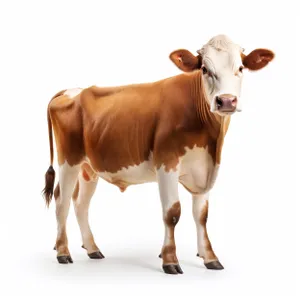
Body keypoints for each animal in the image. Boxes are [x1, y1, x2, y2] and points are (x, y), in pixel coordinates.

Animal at [42, 34, 274, 274]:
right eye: (204, 69)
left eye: (241, 68)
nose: (226, 101)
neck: (211, 141)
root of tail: (71, 90)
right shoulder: (166, 164)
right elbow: (172, 213)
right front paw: (170, 259)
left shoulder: (204, 169)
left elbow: (201, 216)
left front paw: (210, 257)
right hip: (68, 160)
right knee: (62, 201)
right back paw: (63, 252)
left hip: (89, 167)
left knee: (81, 203)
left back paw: (92, 249)